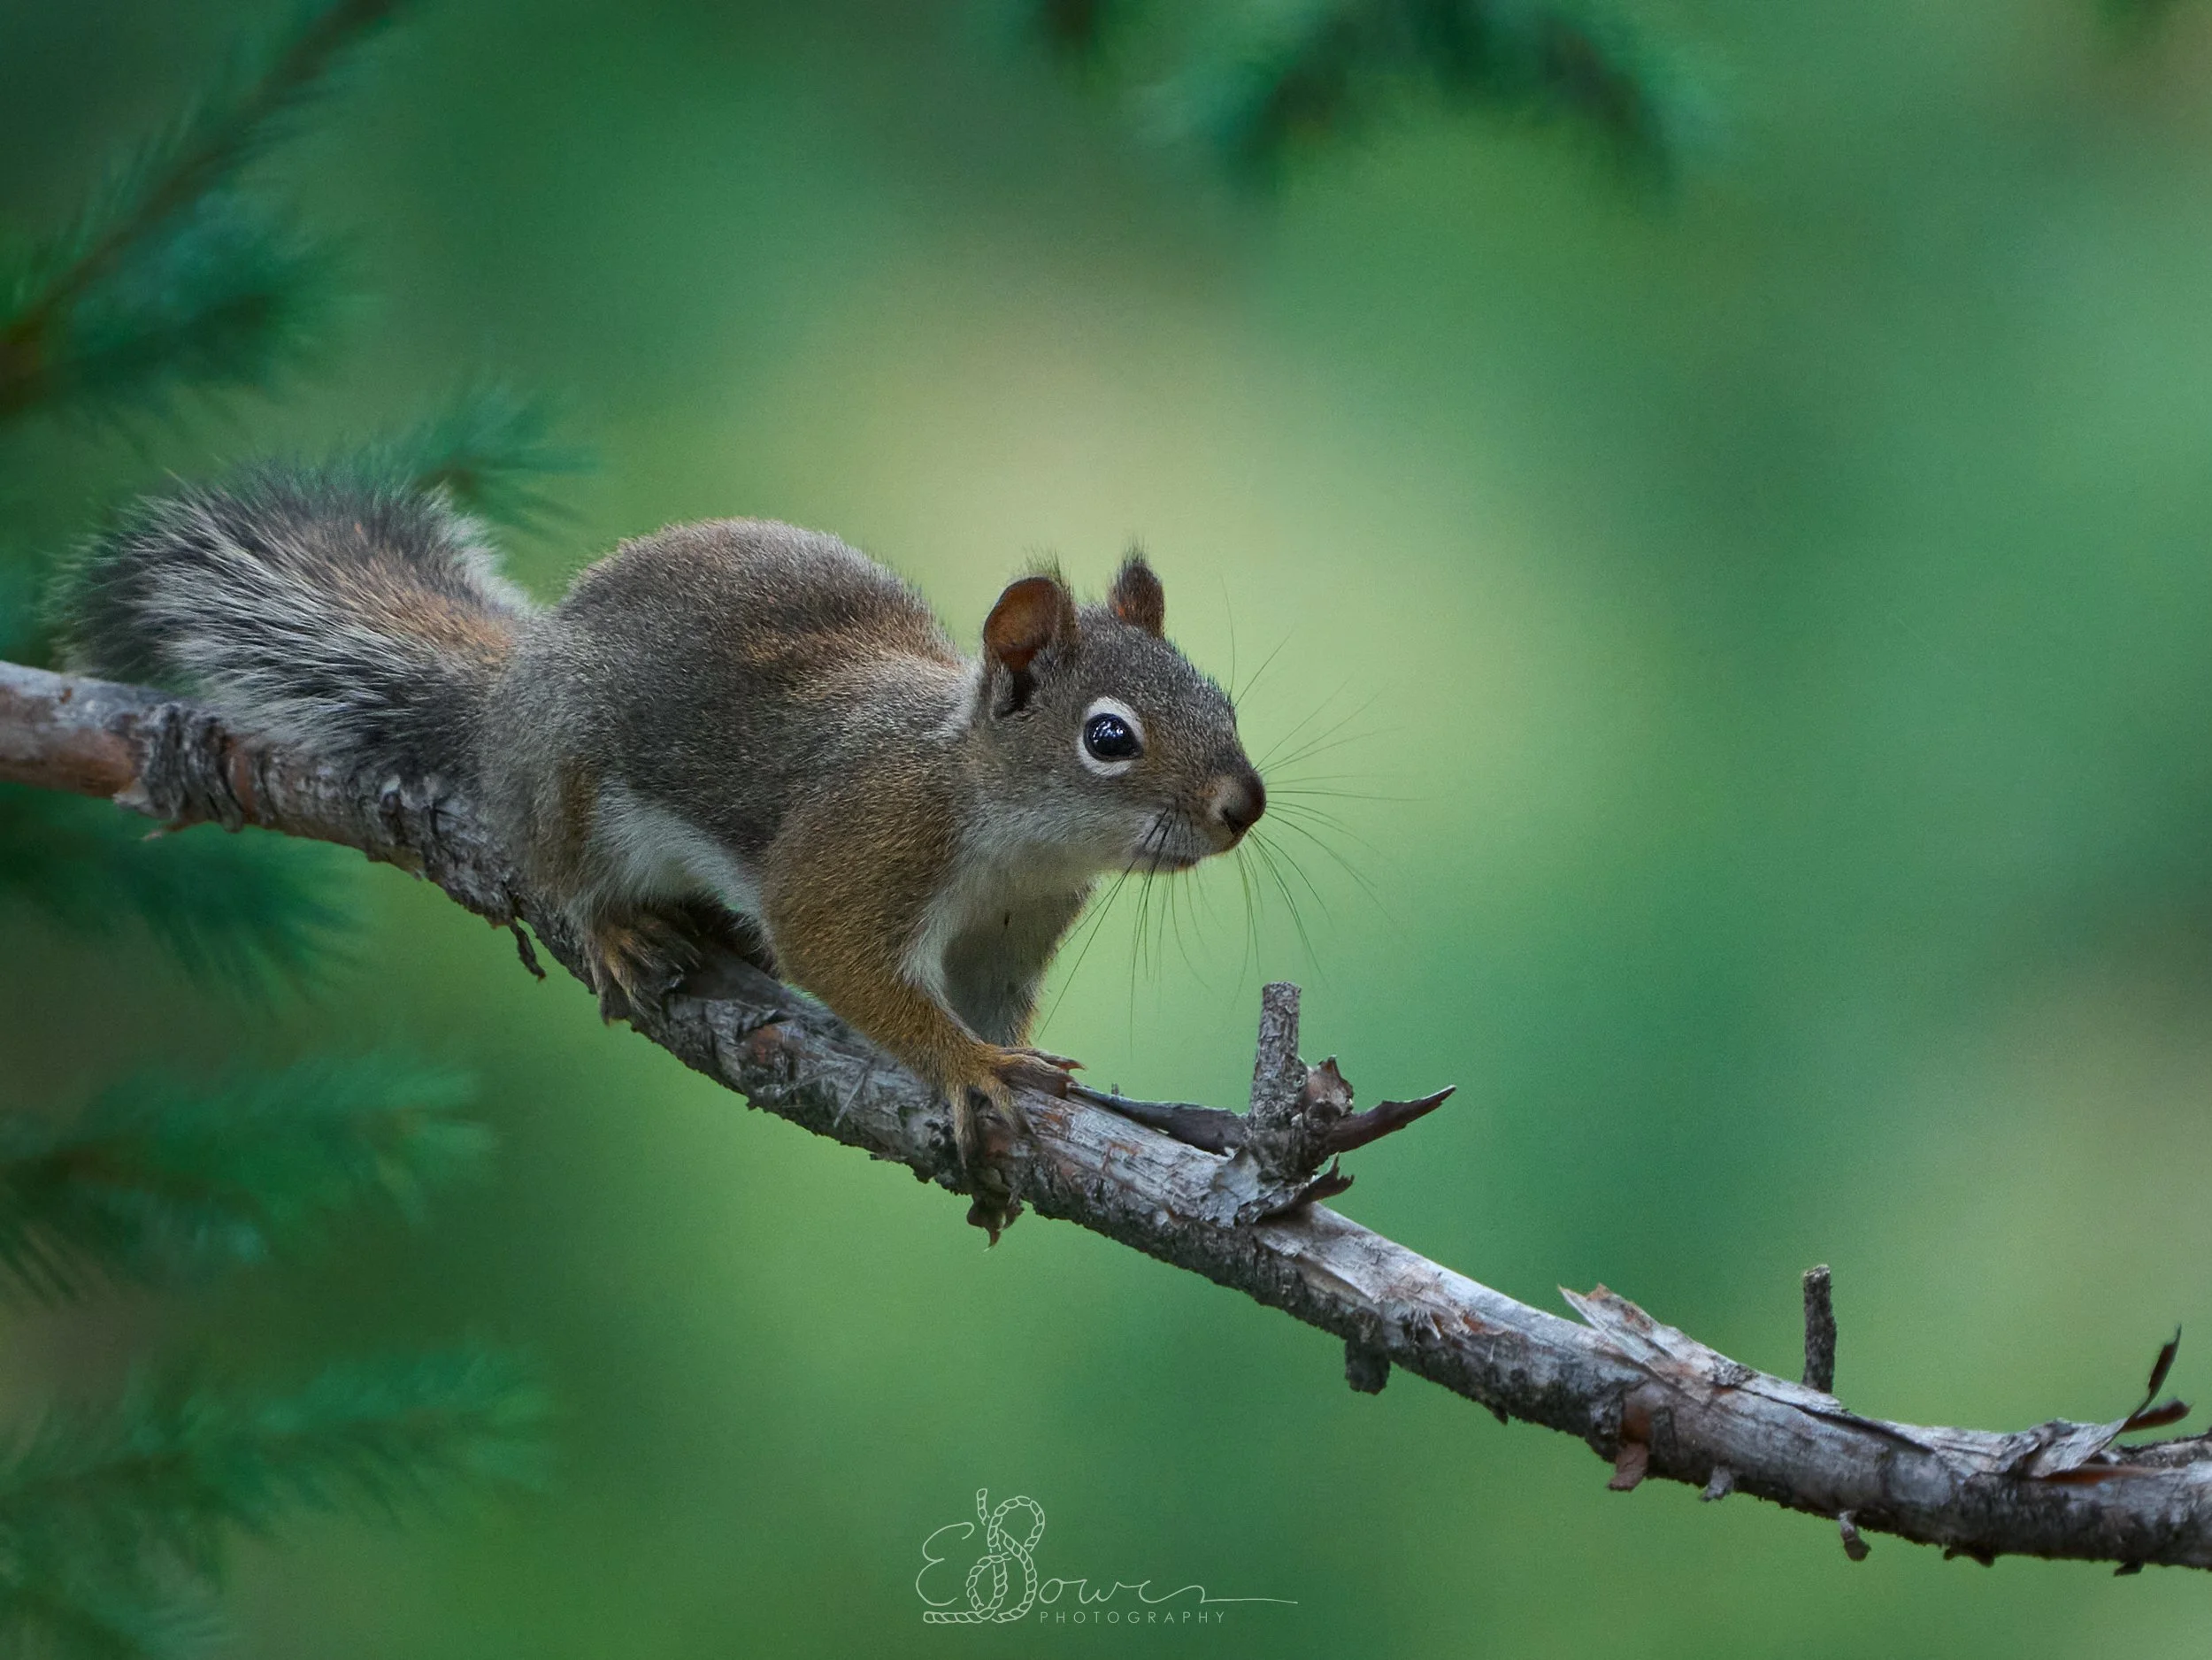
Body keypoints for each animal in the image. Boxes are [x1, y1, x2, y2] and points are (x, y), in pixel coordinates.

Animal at [54, 467, 1266, 1155]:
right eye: (1108, 738)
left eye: (1222, 698)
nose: (1243, 806)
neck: (996, 814)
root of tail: (504, 706)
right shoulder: (861, 845)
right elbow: (837, 954)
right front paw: (964, 1068)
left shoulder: (1007, 937)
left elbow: (989, 1004)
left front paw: (1017, 1068)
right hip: (566, 792)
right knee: (561, 879)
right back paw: (618, 929)